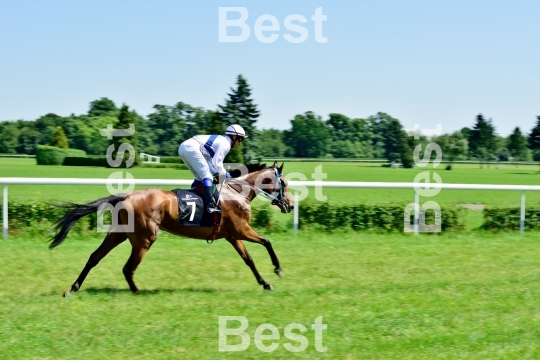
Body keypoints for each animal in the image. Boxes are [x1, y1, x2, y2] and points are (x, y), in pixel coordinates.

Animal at [49, 162, 296, 296]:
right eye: (284, 183)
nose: (291, 205)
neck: (238, 191)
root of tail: (126, 196)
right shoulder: (241, 230)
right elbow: (267, 242)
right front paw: (278, 269)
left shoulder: (232, 236)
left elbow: (249, 260)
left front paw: (265, 283)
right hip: (144, 238)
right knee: (128, 268)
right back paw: (137, 292)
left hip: (119, 233)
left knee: (94, 257)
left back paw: (72, 288)